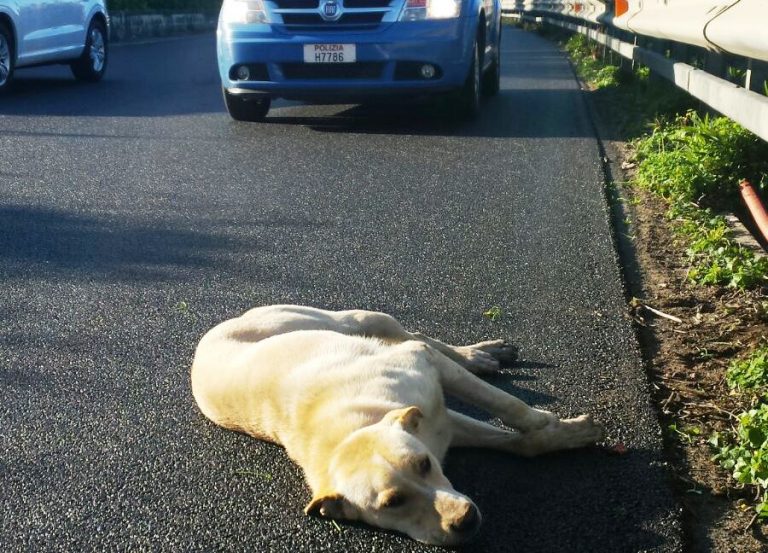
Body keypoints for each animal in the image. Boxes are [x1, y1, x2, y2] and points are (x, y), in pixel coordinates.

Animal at [189, 304, 604, 544]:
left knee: (416, 336)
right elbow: (517, 441)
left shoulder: (427, 374)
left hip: (346, 319)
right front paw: (560, 436)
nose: (464, 521)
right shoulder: (444, 427)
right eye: (393, 503)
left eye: (423, 465)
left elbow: (509, 405)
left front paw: (551, 423)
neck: (349, 432)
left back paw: (480, 354)